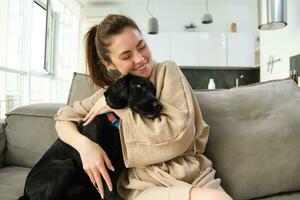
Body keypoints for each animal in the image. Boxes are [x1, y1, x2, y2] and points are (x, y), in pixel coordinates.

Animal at [18, 74, 162, 199]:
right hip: (65, 166)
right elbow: (111, 195)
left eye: (154, 91)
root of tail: (25, 192)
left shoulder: (114, 171)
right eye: (139, 86)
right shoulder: (101, 169)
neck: (114, 125)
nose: (159, 105)